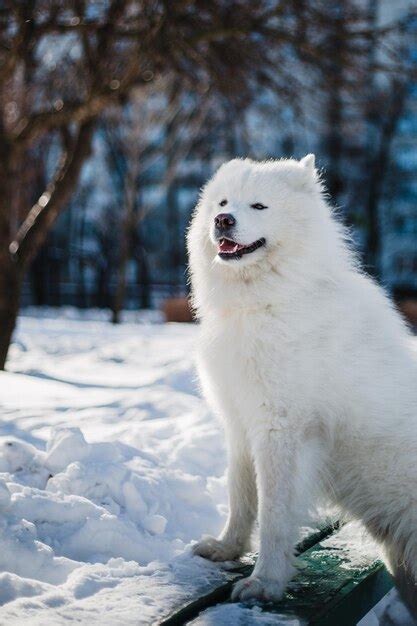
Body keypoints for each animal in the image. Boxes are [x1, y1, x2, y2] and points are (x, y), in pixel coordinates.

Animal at [187, 154, 416, 608]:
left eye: (258, 206)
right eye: (223, 202)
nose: (223, 220)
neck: (265, 302)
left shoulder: (281, 432)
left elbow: (274, 514)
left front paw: (266, 583)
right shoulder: (241, 425)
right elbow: (240, 497)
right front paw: (227, 549)